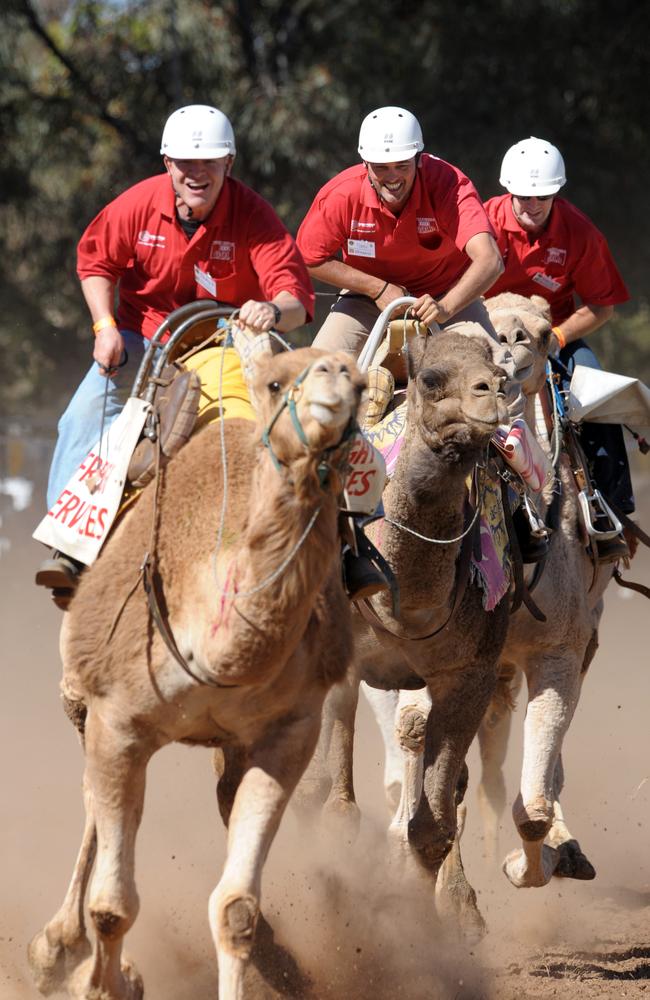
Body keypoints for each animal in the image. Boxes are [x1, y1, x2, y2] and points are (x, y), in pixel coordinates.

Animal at [27, 348, 364, 1000]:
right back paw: (54, 946)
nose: (338, 378)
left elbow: (235, 909)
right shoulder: (120, 722)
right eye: (277, 382)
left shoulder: (289, 731)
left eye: (362, 387)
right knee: (91, 804)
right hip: (83, 697)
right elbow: (113, 906)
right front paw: (103, 982)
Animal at [296, 322, 508, 928]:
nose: (493, 393)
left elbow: (432, 826)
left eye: (498, 369)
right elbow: (331, 808)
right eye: (432, 377)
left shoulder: (472, 673)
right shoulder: (336, 664)